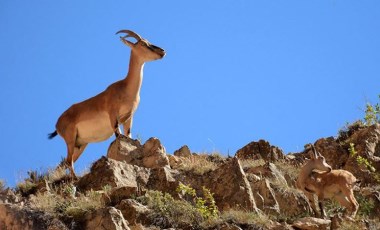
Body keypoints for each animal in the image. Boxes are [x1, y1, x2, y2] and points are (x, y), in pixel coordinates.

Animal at [48, 29, 165, 179]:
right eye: (143, 44)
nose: (162, 51)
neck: (125, 88)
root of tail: (57, 124)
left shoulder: (128, 117)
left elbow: (128, 136)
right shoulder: (113, 115)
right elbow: (118, 135)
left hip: (80, 144)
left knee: (65, 162)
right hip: (70, 139)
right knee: (68, 161)